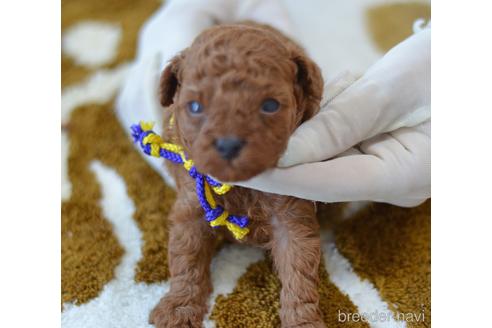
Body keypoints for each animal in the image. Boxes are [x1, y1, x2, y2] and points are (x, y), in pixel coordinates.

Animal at [150, 23, 326, 328]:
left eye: (270, 105)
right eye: (195, 107)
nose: (228, 144)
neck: (241, 186)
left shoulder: (291, 214)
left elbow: (299, 269)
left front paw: (303, 320)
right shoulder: (192, 205)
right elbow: (186, 256)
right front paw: (178, 307)